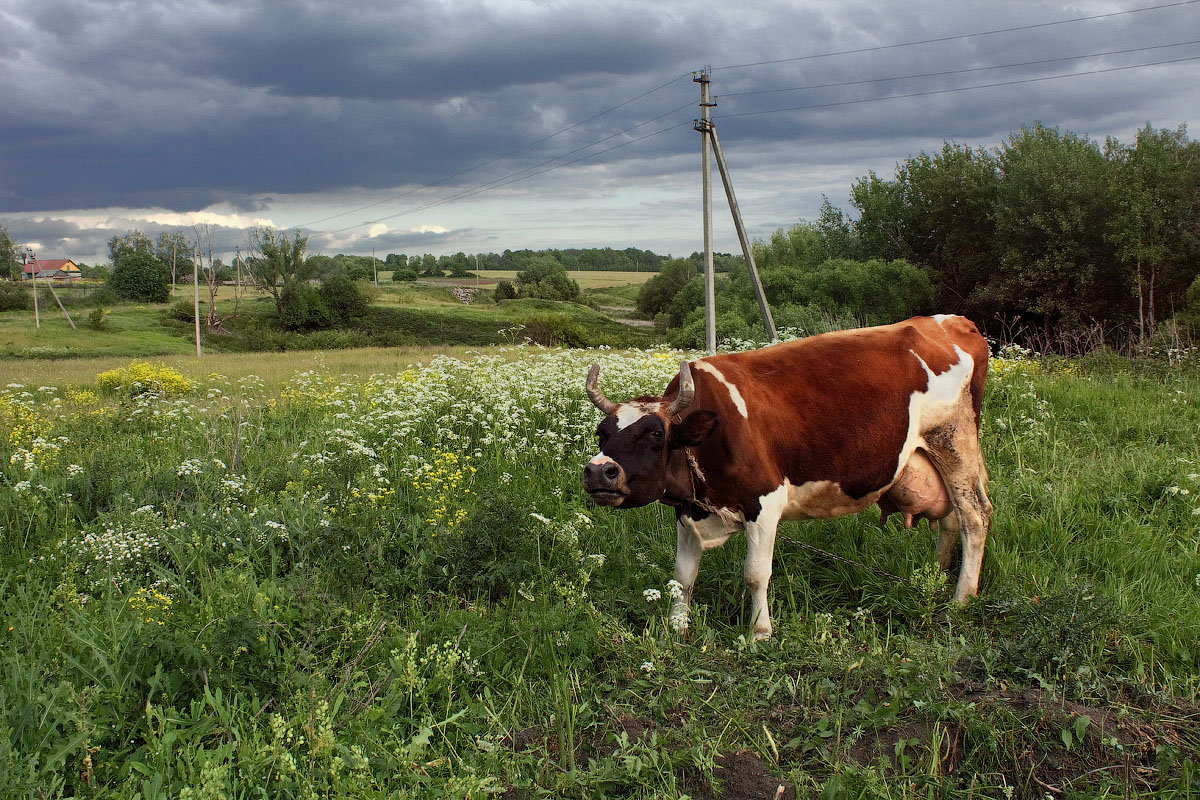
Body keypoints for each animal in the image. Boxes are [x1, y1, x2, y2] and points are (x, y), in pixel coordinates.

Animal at [583, 316, 993, 642]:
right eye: (603, 432)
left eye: (656, 434)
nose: (599, 471)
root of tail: (953, 321)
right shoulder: (689, 510)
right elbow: (682, 576)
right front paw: (676, 627)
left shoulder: (765, 502)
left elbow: (755, 573)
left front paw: (760, 632)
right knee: (952, 518)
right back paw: (936, 579)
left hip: (954, 439)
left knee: (975, 516)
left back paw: (961, 599)